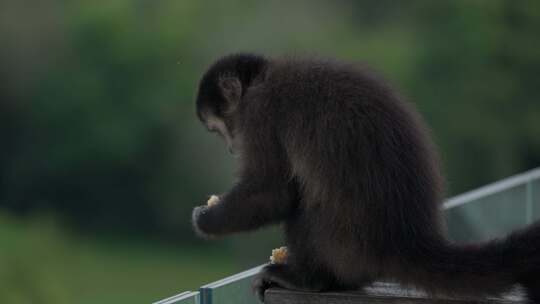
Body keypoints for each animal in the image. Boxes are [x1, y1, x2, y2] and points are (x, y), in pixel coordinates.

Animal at [190, 53, 540, 302]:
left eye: (220, 129)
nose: (232, 147)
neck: (262, 79)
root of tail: (406, 240)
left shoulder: (260, 112)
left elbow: (273, 191)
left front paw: (209, 220)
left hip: (346, 247)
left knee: (304, 205)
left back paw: (309, 279)